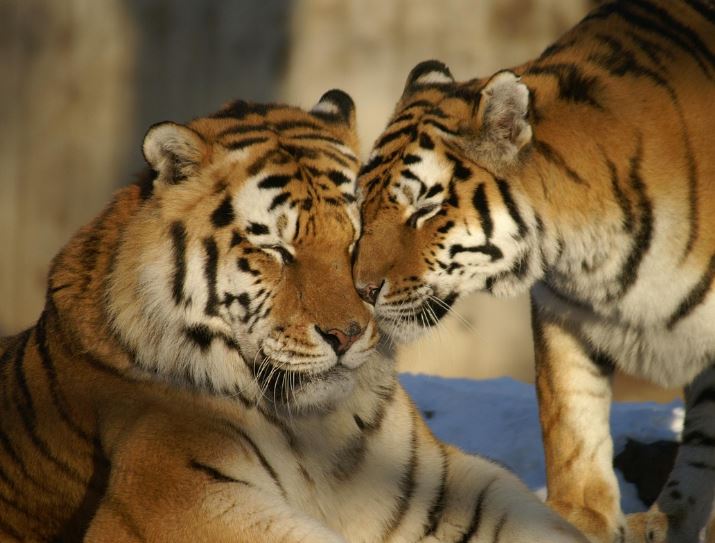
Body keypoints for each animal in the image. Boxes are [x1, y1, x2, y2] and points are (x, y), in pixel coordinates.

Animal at [0, 92, 586, 542]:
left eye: (358, 236)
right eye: (276, 249)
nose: (346, 334)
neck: (321, 430)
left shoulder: (440, 488)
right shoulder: (174, 499)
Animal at [352, 1, 715, 542]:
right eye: (364, 205)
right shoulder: (565, 313)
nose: (362, 288)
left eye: (423, 210)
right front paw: (582, 518)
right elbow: (571, 421)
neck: (586, 253)